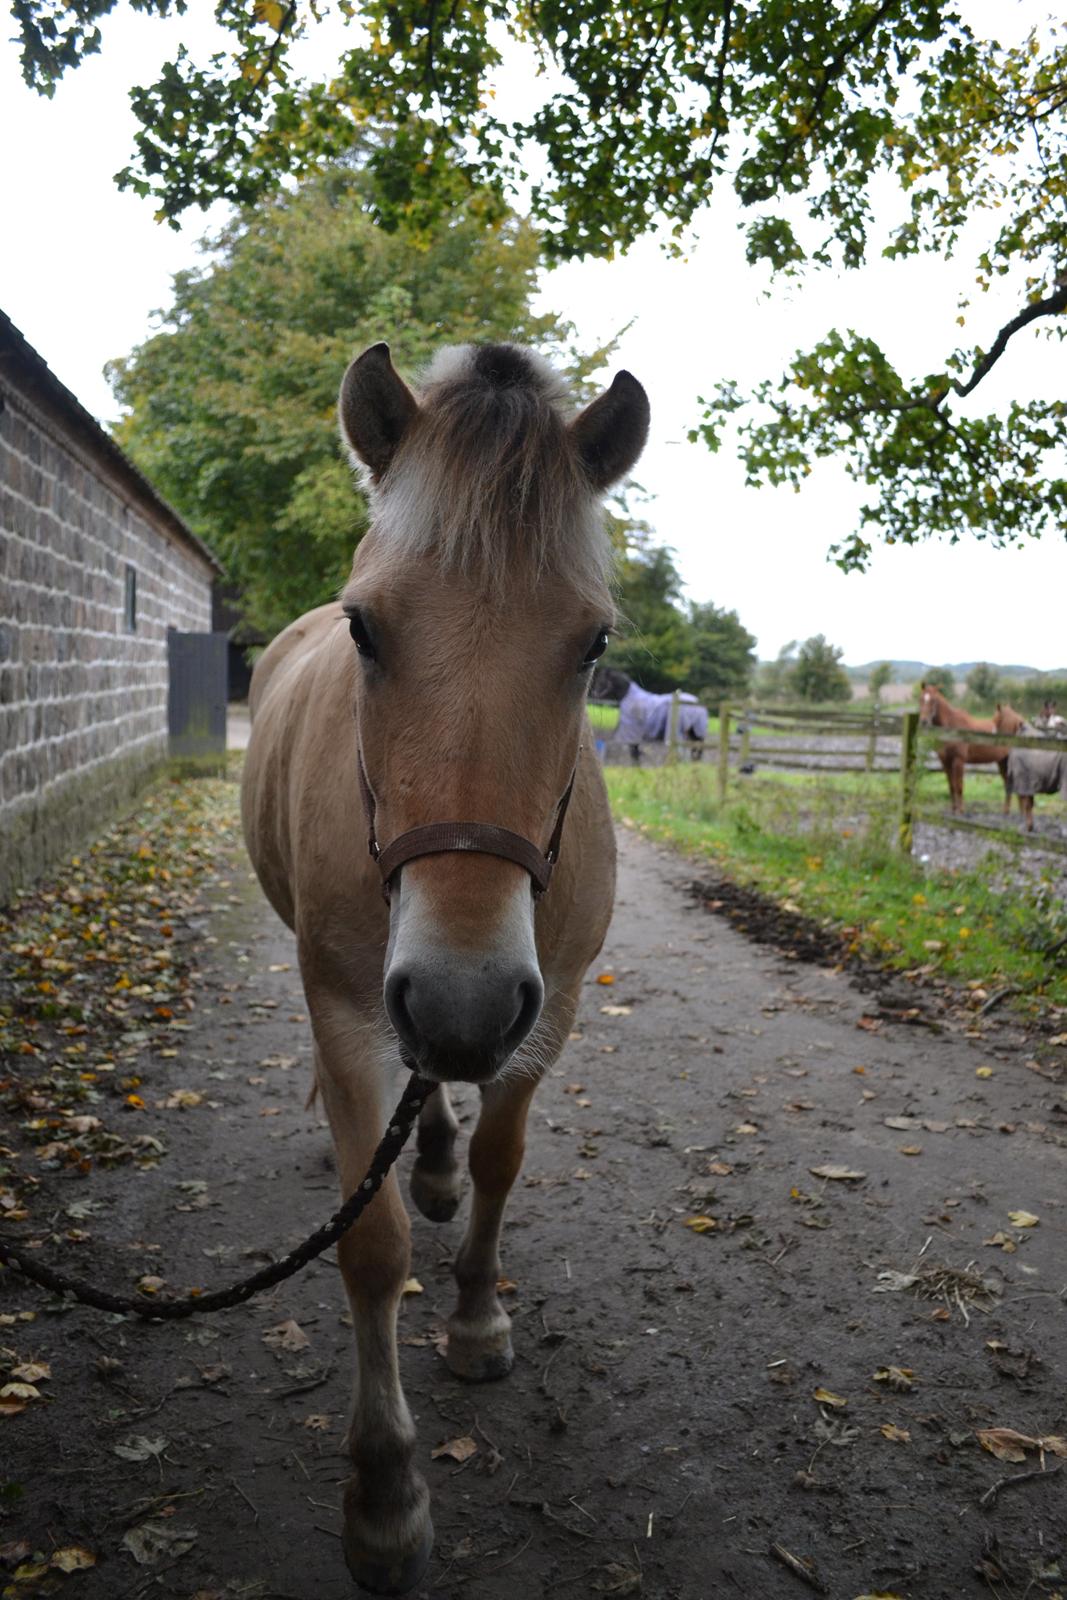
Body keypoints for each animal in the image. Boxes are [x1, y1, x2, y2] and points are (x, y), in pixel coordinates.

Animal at [239, 344, 652, 1593]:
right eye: (366, 629)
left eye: (592, 644)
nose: (461, 995)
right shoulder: (348, 1010)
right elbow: (369, 1246)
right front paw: (384, 1498)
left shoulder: (542, 1012)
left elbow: (503, 1161)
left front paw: (475, 1319)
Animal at [921, 684, 1011, 819]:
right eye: (920, 698)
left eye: (934, 700)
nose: (924, 721)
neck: (951, 728)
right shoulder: (945, 761)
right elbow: (951, 786)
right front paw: (953, 810)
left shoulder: (959, 760)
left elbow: (959, 786)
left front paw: (960, 811)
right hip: (1001, 761)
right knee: (1007, 783)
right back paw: (1006, 811)